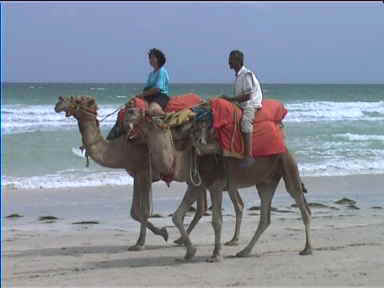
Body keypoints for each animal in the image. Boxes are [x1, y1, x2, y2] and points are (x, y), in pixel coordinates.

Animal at [53, 95, 213, 251]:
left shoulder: (143, 172)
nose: (58, 102)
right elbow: (135, 212)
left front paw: (154, 237)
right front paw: (142, 241)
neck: (121, 149)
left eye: (77, 100)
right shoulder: (136, 174)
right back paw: (181, 240)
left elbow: (142, 211)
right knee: (201, 208)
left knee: (200, 206)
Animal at [124, 103, 314, 260]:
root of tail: (284, 144)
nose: (129, 111)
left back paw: (307, 249)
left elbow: (216, 221)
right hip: (266, 181)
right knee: (265, 217)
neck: (184, 156)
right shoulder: (196, 184)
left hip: (288, 167)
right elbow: (177, 216)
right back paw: (244, 251)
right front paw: (189, 252)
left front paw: (216, 254)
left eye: (147, 114)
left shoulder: (215, 184)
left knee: (301, 204)